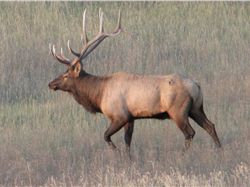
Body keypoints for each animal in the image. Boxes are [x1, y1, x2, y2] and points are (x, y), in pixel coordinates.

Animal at [48, 8, 221, 155]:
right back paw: (220, 151)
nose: (51, 84)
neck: (99, 95)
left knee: (190, 133)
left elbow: (106, 136)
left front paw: (117, 153)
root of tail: (197, 86)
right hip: (196, 108)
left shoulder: (120, 115)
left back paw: (182, 155)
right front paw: (128, 159)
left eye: (66, 75)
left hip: (178, 110)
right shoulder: (131, 117)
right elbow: (128, 141)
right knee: (210, 125)